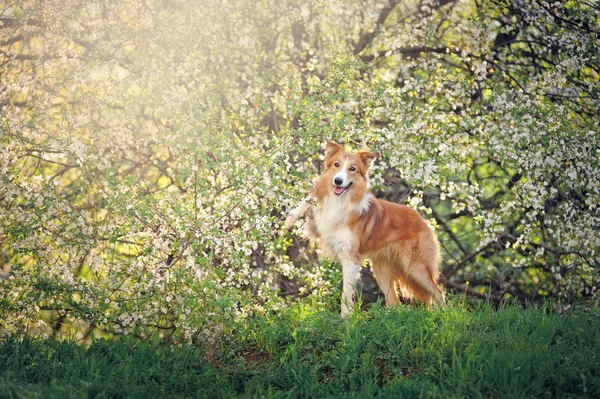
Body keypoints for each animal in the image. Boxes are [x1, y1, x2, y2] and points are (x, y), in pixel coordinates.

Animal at [286, 139, 446, 318]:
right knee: (395, 302)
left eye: (352, 169)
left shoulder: (351, 258)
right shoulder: (319, 225)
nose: (338, 181)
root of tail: (424, 221)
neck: (339, 201)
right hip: (381, 270)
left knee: (438, 293)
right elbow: (309, 200)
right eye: (336, 165)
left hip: (415, 266)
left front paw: (344, 320)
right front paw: (291, 216)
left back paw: (441, 317)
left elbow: (346, 295)